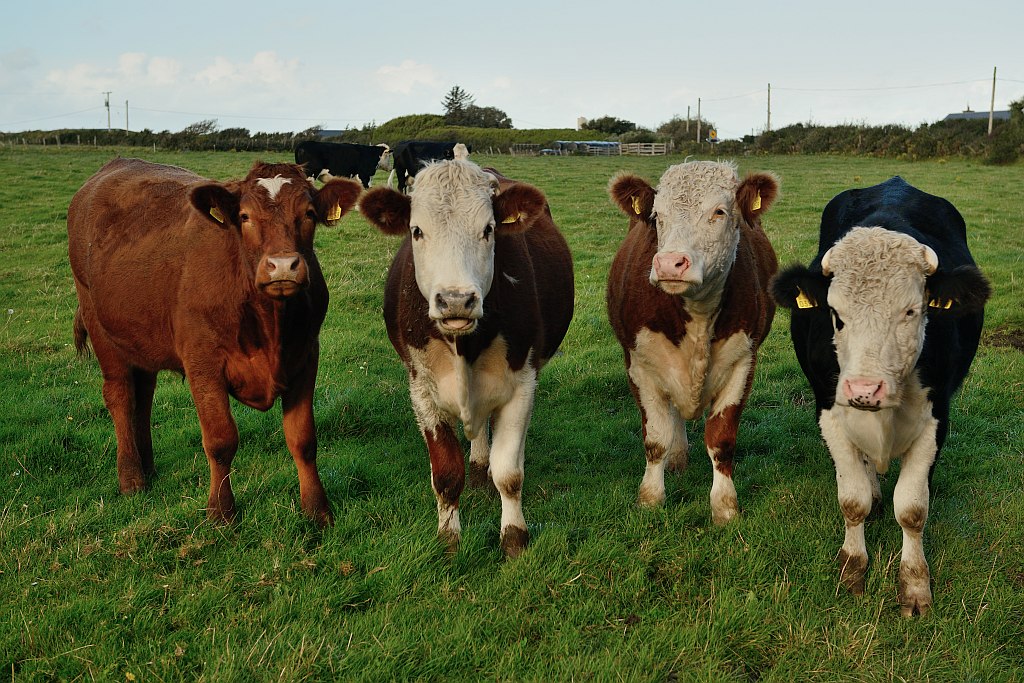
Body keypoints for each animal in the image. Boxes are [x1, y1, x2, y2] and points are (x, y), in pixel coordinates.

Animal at [67, 158, 362, 526]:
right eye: (245, 216)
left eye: (309, 213)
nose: (283, 266)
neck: (271, 323)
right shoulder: (203, 362)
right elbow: (221, 440)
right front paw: (221, 512)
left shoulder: (306, 356)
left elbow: (303, 438)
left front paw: (317, 510)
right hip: (99, 323)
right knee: (120, 395)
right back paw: (132, 478)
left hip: (141, 335)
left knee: (143, 395)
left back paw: (148, 466)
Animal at [359, 159, 574, 558]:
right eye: (416, 230)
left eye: (488, 229)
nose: (456, 300)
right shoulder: (421, 389)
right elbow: (446, 473)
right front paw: (449, 540)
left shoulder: (523, 382)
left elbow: (509, 473)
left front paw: (514, 538)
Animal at [606, 161, 779, 524]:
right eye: (657, 215)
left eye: (719, 212)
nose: (670, 263)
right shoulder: (639, 364)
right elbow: (656, 438)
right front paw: (650, 498)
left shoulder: (743, 362)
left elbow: (721, 439)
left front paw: (725, 507)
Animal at [770, 176, 991, 616]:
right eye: (836, 315)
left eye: (911, 311)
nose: (864, 389)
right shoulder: (829, 411)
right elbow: (852, 499)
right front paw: (853, 568)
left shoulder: (936, 418)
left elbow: (912, 508)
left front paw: (915, 585)